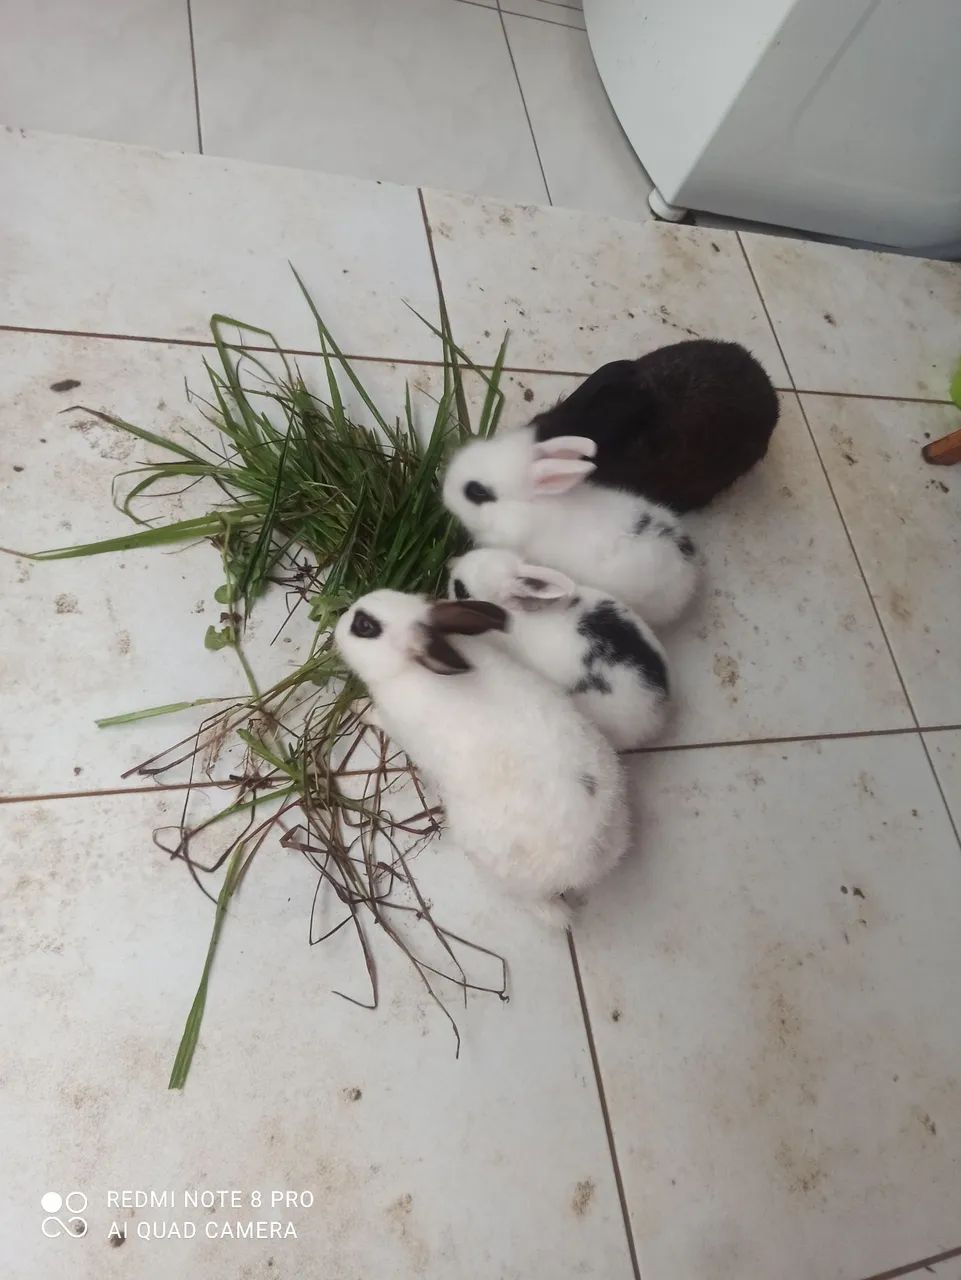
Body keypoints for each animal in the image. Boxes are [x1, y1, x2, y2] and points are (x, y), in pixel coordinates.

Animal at [334, 590, 629, 928]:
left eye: (365, 626)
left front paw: (357, 707)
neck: (408, 668)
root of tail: (592, 854)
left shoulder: (392, 721)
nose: (339, 621)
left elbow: (375, 716)